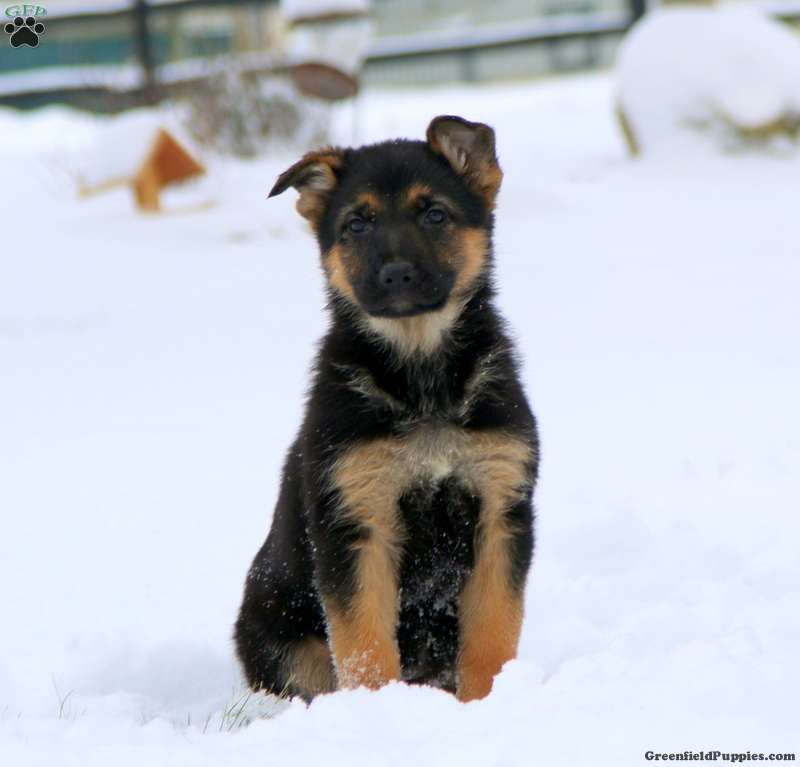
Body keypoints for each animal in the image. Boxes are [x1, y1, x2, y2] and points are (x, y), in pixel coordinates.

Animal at [234, 115, 540, 704]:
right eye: (357, 224)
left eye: (435, 214)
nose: (395, 274)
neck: (421, 379)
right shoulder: (357, 524)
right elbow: (366, 647)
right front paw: (378, 708)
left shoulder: (502, 511)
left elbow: (493, 632)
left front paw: (488, 703)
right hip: (277, 633)